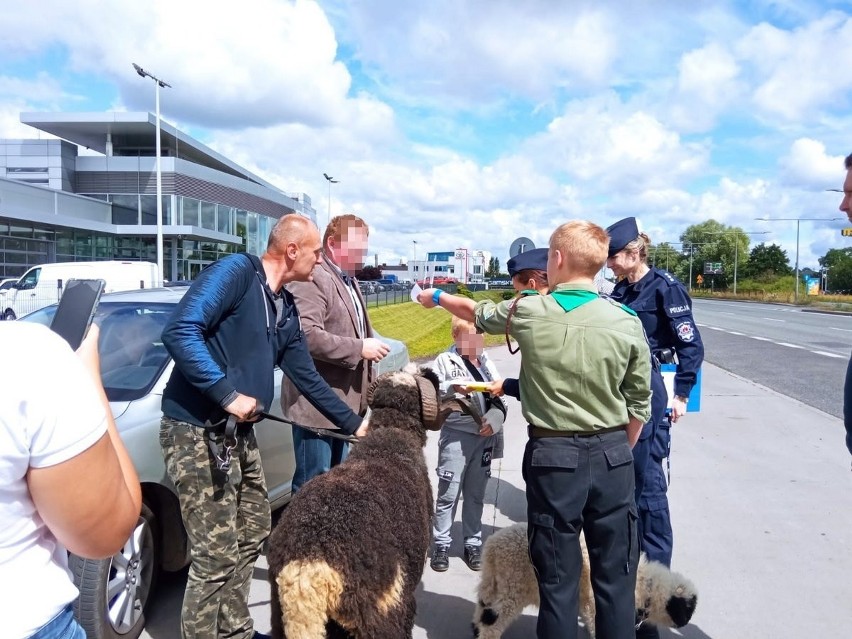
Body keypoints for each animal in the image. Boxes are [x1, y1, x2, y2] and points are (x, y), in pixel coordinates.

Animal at [472, 524, 700, 636]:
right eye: (687, 608)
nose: (685, 624)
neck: (644, 583)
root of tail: (493, 546)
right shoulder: (598, 605)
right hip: (513, 588)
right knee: (494, 619)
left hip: (493, 580)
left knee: (483, 605)